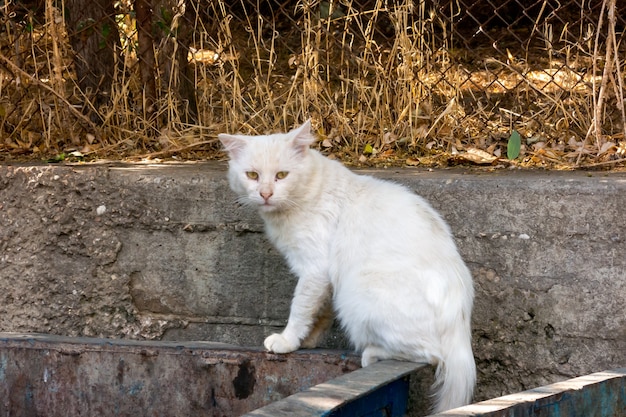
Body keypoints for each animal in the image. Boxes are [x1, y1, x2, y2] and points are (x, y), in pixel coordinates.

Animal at [217, 118, 476, 412]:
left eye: (281, 175)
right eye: (252, 175)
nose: (265, 194)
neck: (308, 191)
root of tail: (460, 323)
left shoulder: (314, 269)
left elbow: (300, 309)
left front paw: (286, 341)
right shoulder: (326, 279)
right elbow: (319, 313)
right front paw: (307, 341)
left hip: (358, 294)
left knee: (430, 355)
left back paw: (372, 354)